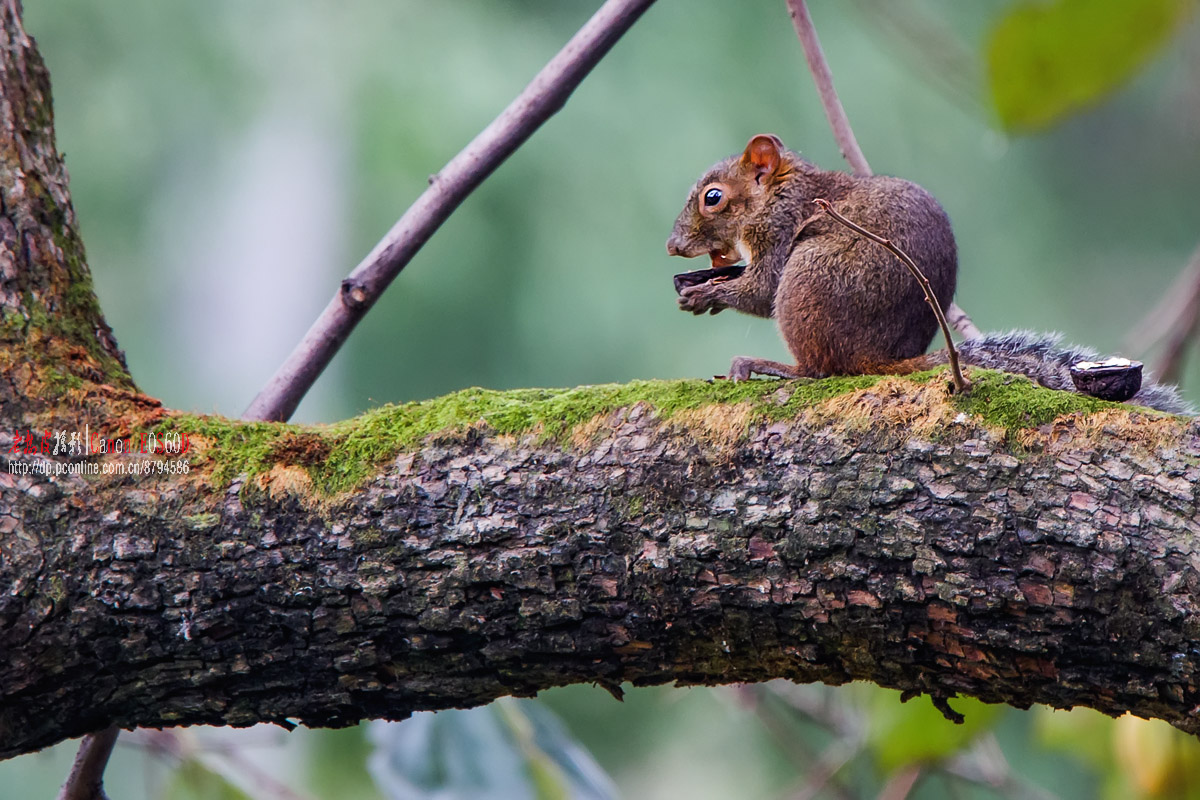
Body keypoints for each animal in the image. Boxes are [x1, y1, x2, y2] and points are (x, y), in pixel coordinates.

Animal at [672, 133, 1185, 417]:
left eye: (713, 198)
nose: (672, 246)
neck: (782, 188)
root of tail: (881, 358)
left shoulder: (780, 228)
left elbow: (761, 292)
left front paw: (706, 295)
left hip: (807, 280)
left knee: (822, 370)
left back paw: (772, 367)